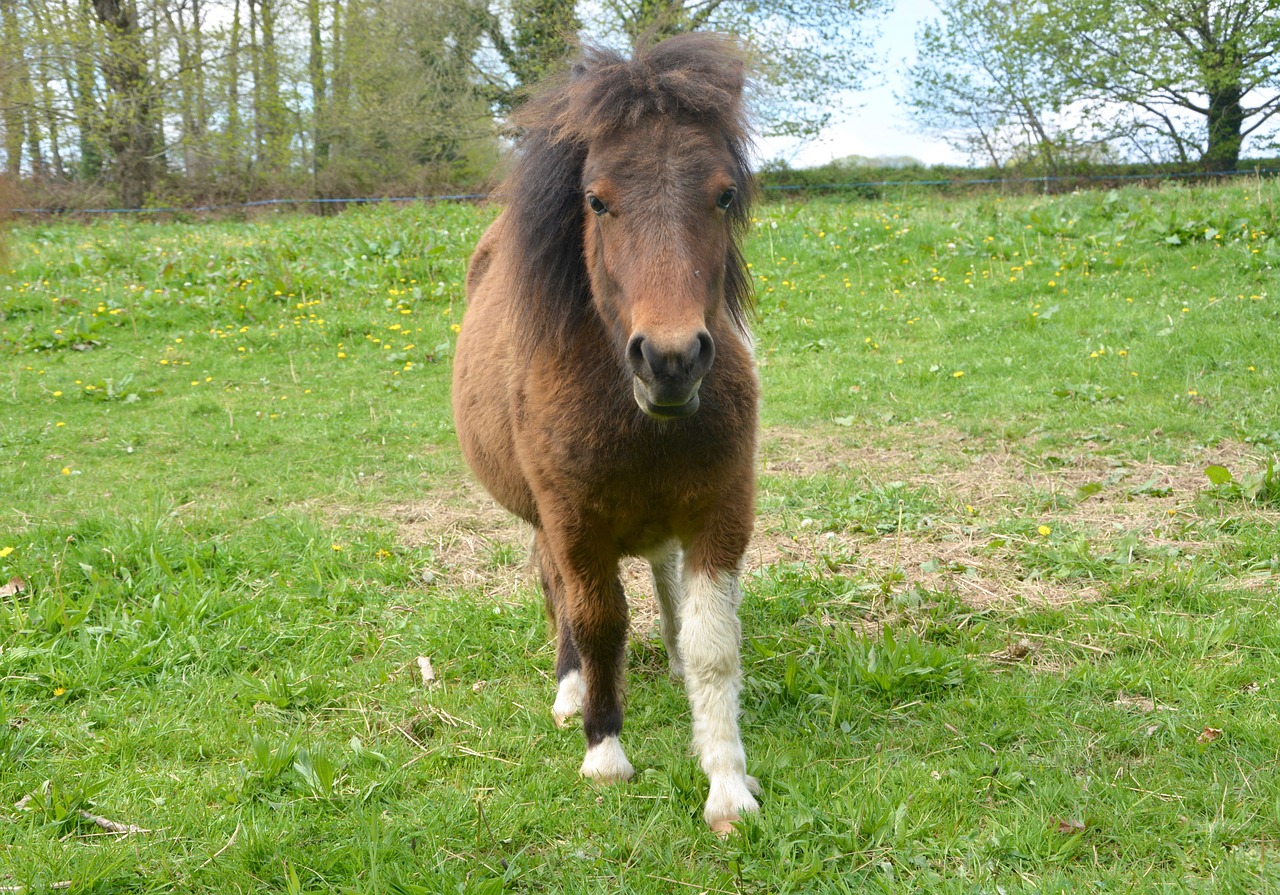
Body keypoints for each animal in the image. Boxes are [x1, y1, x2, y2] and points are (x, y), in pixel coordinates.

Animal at [453, 33, 757, 834]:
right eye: (597, 199)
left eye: (723, 195)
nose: (671, 358)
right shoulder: (573, 522)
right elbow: (596, 622)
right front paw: (605, 751)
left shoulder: (722, 513)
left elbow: (713, 645)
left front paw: (727, 783)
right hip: (544, 518)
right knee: (554, 587)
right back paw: (567, 690)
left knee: (660, 570)